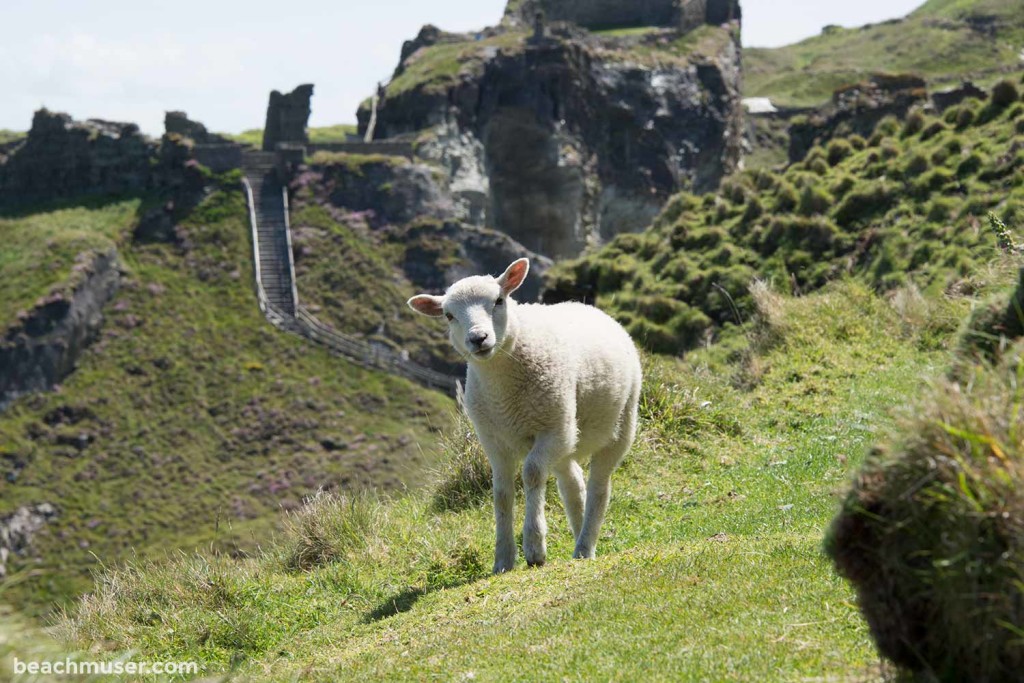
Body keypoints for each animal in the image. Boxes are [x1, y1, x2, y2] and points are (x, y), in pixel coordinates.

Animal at [407, 258, 638, 573]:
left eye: (499, 301)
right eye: (448, 315)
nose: (478, 338)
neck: (504, 391)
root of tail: (592, 308)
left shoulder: (554, 429)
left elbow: (531, 474)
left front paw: (534, 547)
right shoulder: (494, 441)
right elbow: (502, 493)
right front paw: (503, 559)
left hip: (616, 426)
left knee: (598, 488)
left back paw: (585, 545)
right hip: (565, 440)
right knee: (572, 482)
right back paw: (579, 534)